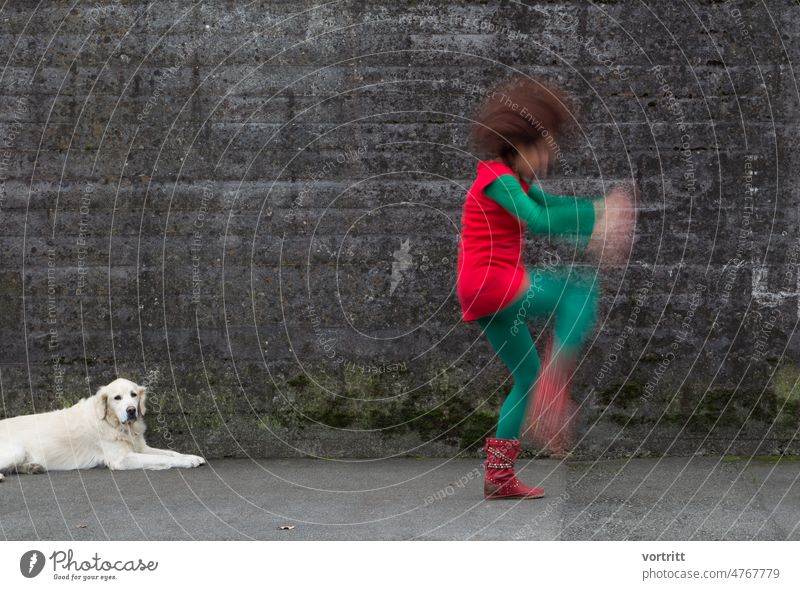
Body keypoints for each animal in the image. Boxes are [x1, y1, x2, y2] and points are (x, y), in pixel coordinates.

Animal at [1, 380, 206, 480]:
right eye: (117, 398)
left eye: (133, 395)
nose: (131, 410)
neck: (114, 424)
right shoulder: (122, 459)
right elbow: (162, 458)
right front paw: (186, 462)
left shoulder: (141, 447)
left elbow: (170, 452)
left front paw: (191, 456)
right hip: (16, 450)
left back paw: (32, 467)